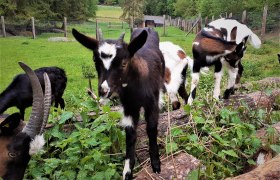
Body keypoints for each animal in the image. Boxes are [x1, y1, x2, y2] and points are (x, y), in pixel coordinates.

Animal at [72, 27, 164, 179]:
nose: (103, 90)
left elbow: (151, 128)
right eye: (95, 60)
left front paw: (156, 164)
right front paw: (127, 171)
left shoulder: (152, 104)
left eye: (124, 63)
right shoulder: (129, 107)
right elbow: (130, 134)